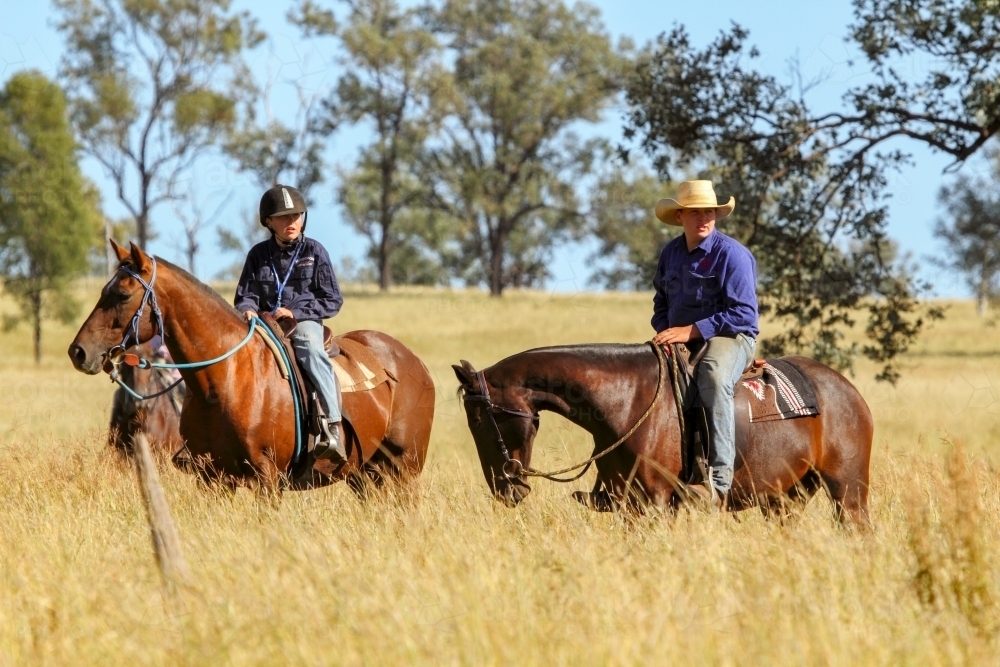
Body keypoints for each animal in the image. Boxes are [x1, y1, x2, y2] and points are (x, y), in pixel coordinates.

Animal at [66, 243, 434, 494]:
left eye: (122, 294)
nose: (78, 352)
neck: (225, 379)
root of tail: (414, 362)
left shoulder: (266, 477)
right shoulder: (212, 477)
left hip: (405, 469)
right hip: (366, 474)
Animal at [454, 344, 868, 528]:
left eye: (481, 420)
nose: (506, 490)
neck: (626, 400)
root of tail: (848, 390)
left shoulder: (654, 503)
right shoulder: (627, 503)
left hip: (848, 491)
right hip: (787, 497)